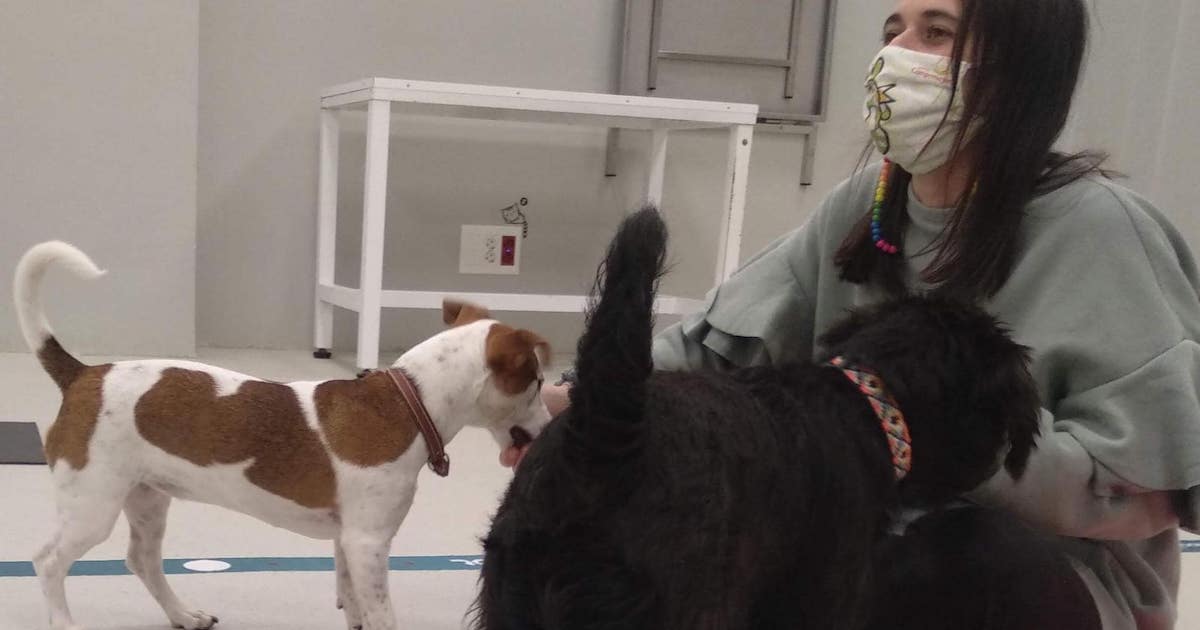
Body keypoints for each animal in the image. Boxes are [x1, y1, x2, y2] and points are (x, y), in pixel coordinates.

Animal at [14, 241, 552, 628]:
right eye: (537, 382)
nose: (549, 424)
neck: (407, 402)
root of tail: (84, 374)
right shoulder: (368, 543)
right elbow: (382, 616)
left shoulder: (347, 544)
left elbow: (356, 609)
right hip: (92, 507)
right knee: (48, 562)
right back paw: (65, 622)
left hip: (146, 498)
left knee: (141, 561)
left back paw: (183, 615)